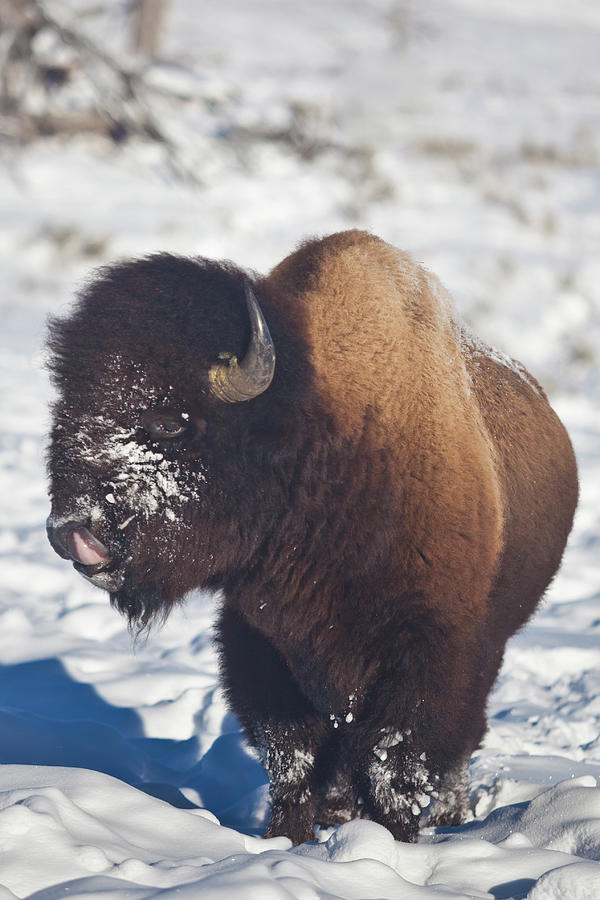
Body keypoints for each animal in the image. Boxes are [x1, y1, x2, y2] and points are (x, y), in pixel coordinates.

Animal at [44, 230, 580, 844]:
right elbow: (293, 754)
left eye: (169, 422)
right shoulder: (260, 640)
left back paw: (447, 817)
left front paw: (396, 838)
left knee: (459, 741)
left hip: (490, 646)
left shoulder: (427, 647)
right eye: (66, 408)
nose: (71, 533)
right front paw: (286, 839)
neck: (324, 437)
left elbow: (395, 759)